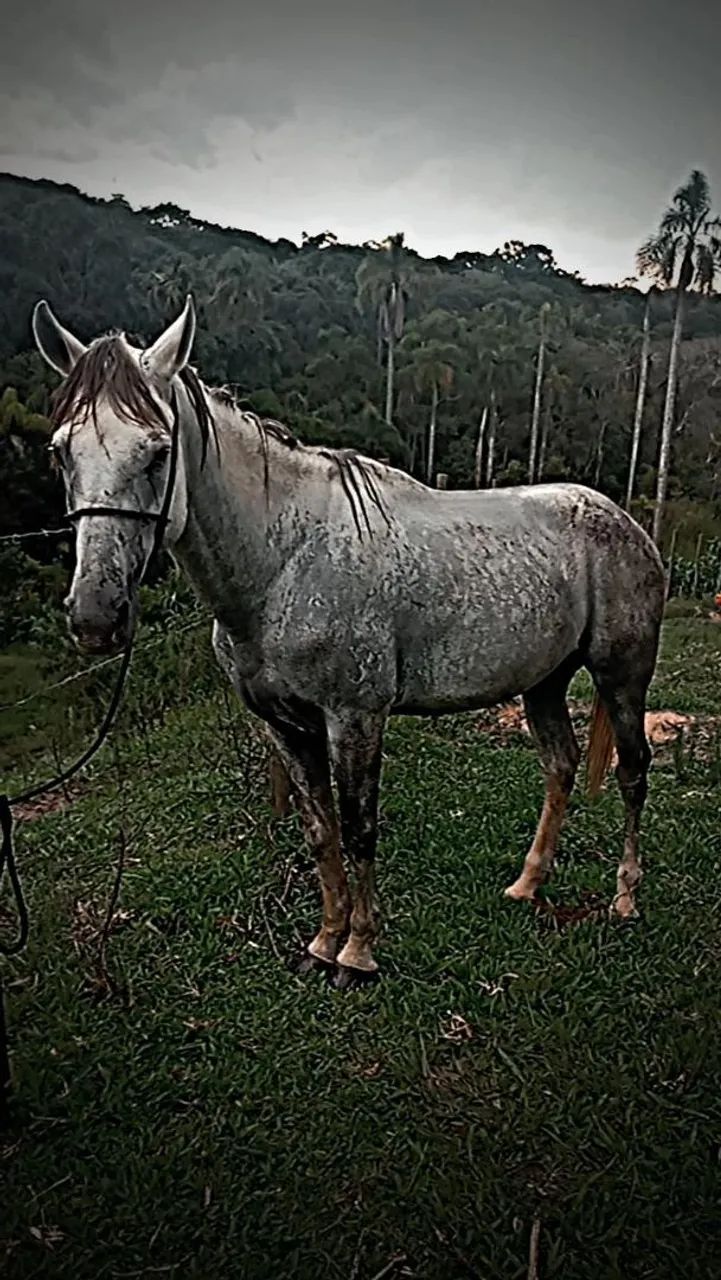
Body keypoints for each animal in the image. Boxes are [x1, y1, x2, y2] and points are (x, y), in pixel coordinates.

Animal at [32, 296, 666, 988]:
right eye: (61, 452)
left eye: (156, 452)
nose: (96, 616)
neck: (283, 562)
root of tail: (624, 520)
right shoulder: (285, 726)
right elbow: (321, 831)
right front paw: (323, 942)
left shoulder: (355, 718)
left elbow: (360, 828)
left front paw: (359, 953)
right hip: (544, 682)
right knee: (561, 766)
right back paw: (527, 885)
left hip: (622, 677)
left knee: (633, 770)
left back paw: (626, 898)